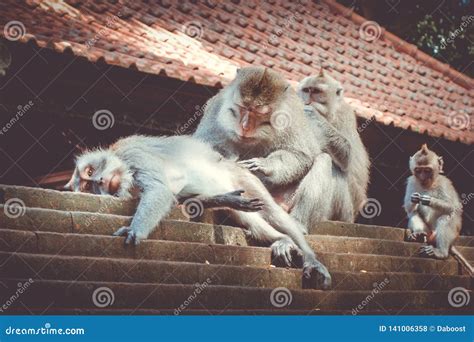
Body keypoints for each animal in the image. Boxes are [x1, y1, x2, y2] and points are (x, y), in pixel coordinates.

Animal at [65, 135, 332, 288]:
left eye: (90, 173)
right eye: (88, 186)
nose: (99, 181)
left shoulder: (133, 153)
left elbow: (160, 190)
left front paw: (135, 230)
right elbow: (179, 200)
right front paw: (220, 199)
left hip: (242, 177)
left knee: (274, 213)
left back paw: (308, 256)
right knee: (248, 218)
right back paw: (281, 240)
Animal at [193, 66, 356, 232]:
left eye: (259, 113)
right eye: (243, 107)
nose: (245, 126)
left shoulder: (292, 116)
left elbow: (301, 155)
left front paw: (265, 165)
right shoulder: (216, 107)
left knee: (323, 159)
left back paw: (298, 224)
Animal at [296, 70, 370, 219]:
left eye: (316, 91)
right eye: (306, 90)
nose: (307, 100)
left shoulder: (344, 115)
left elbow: (348, 158)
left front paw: (314, 115)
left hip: (344, 211)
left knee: (334, 167)